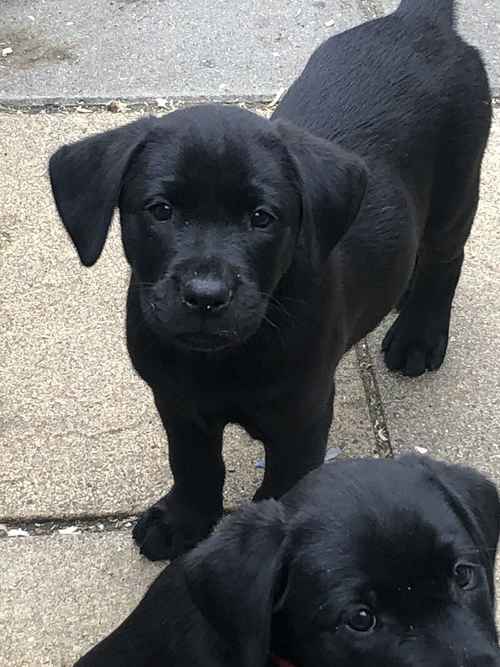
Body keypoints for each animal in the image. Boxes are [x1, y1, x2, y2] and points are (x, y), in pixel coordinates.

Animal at [47, 0, 492, 560]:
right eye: (161, 210)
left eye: (262, 218)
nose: (206, 296)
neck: (221, 359)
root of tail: (420, 21)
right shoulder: (176, 401)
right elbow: (192, 465)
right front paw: (184, 518)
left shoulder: (302, 416)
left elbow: (282, 486)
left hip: (458, 187)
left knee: (444, 259)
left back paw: (419, 335)